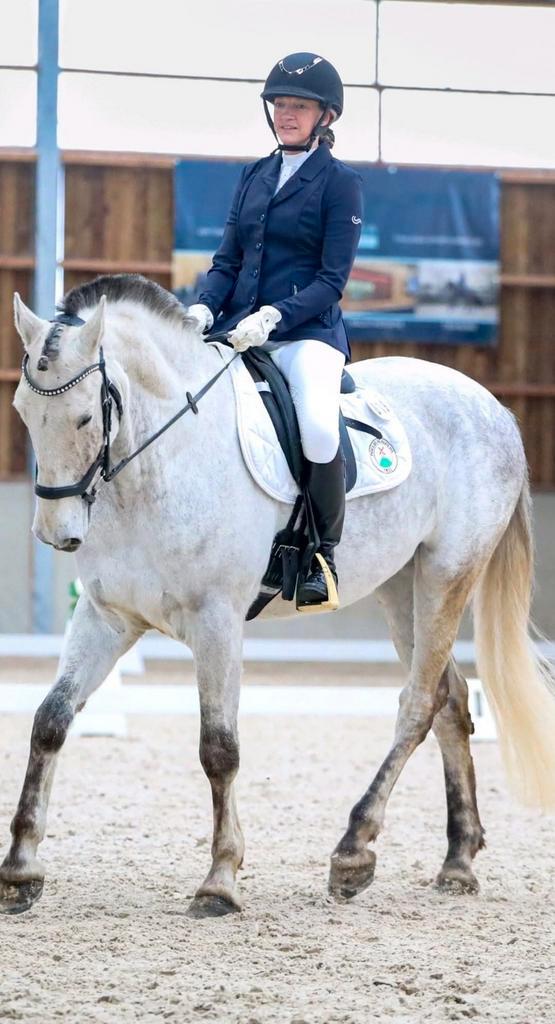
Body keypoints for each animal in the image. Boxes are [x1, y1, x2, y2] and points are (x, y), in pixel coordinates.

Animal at [2, 274, 555, 919]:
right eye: (23, 411)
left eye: (87, 416)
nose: (56, 533)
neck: (161, 462)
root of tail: (492, 406)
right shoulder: (105, 617)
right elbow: (50, 721)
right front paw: (19, 871)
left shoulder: (217, 621)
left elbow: (219, 748)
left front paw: (219, 881)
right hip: (403, 589)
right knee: (450, 699)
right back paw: (458, 860)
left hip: (449, 573)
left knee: (417, 704)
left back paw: (354, 851)